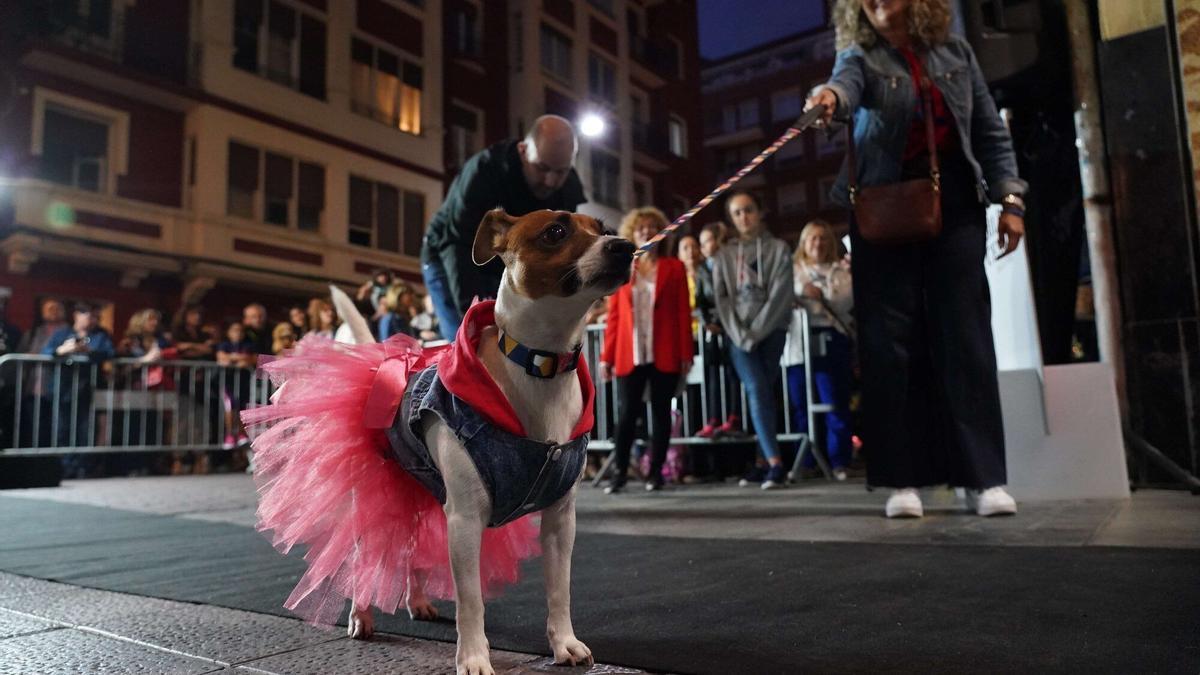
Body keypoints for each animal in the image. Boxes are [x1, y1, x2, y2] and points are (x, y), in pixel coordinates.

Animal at [246, 210, 638, 672]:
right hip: (372, 502)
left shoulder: (561, 520)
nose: (626, 247)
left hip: (419, 497)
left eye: (604, 229)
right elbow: (471, 601)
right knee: (365, 560)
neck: (539, 366)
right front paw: (474, 657)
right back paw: (361, 615)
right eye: (555, 232)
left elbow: (559, 589)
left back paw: (417, 601)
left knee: (411, 553)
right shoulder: (465, 522)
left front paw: (565, 644)